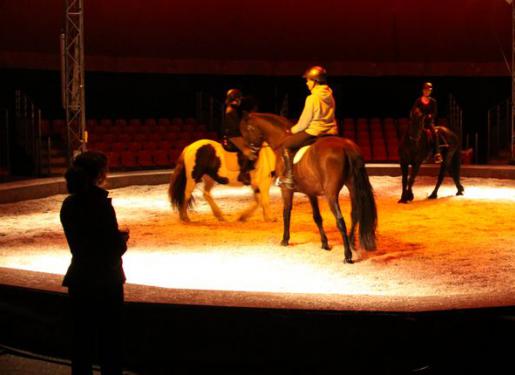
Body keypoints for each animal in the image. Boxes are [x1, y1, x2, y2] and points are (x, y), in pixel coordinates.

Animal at [242, 113, 378, 266]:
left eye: (248, 130)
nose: (251, 155)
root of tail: (346, 147)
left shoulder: (286, 190)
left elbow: (286, 213)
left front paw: (285, 240)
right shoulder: (311, 192)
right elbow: (317, 217)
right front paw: (325, 244)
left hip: (331, 194)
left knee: (340, 221)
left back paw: (347, 255)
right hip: (352, 186)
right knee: (354, 215)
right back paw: (351, 243)